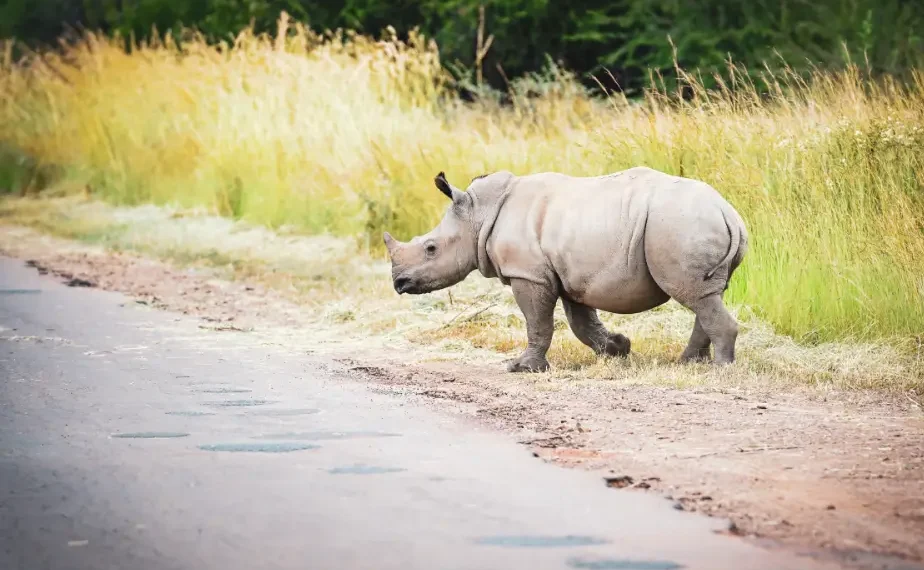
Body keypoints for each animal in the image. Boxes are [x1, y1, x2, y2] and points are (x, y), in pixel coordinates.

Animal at [382, 166, 752, 370]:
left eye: (431, 249)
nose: (399, 283)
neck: (479, 215)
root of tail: (729, 213)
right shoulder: (571, 274)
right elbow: (581, 322)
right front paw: (617, 349)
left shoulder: (528, 274)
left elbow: (538, 322)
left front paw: (521, 368)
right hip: (691, 225)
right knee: (705, 295)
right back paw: (689, 362)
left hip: (680, 225)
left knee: (694, 295)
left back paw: (719, 368)